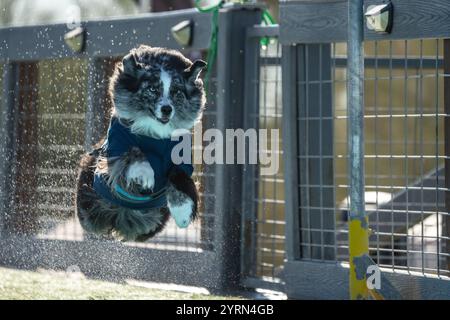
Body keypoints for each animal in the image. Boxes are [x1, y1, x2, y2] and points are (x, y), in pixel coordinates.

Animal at [75, 44, 206, 240]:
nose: (167, 109)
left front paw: (182, 212)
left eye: (176, 91)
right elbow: (134, 152)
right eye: (152, 89)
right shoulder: (116, 147)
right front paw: (144, 175)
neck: (155, 134)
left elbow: (179, 176)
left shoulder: (181, 158)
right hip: (89, 205)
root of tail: (120, 218)